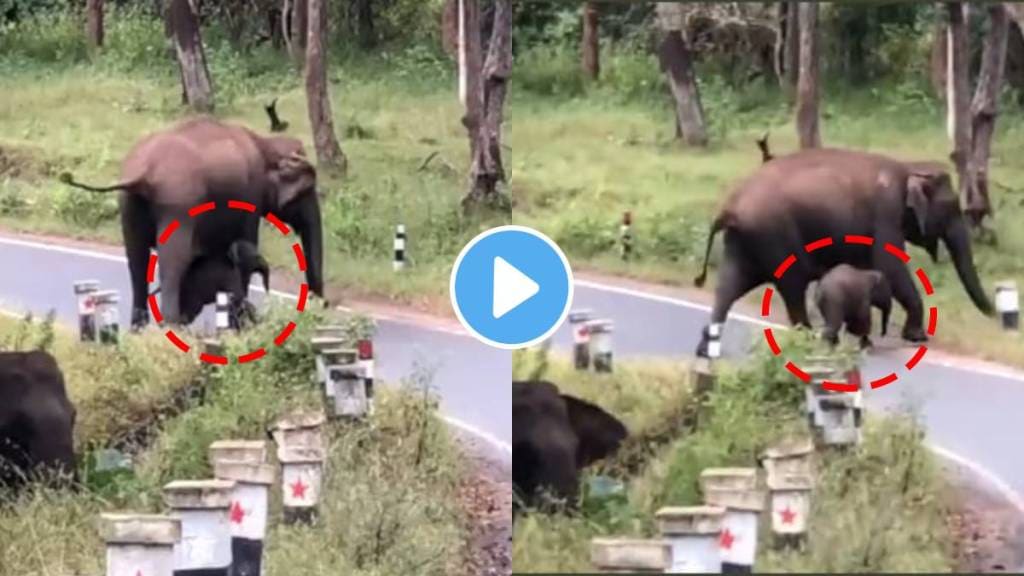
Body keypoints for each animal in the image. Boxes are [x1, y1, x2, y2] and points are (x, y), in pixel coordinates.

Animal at [59, 116, 324, 329]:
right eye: (306, 190)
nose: (318, 308)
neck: (264, 143)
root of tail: (143, 172)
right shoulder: (251, 196)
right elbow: (246, 247)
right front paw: (240, 327)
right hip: (178, 204)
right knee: (174, 262)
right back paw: (172, 327)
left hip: (129, 206)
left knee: (137, 261)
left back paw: (140, 329)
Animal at [694, 147, 994, 356]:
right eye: (951, 207)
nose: (995, 317)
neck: (910, 166)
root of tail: (728, 210)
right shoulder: (885, 212)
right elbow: (891, 265)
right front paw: (917, 337)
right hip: (773, 235)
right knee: (791, 286)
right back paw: (806, 341)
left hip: (744, 242)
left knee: (728, 286)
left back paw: (707, 349)